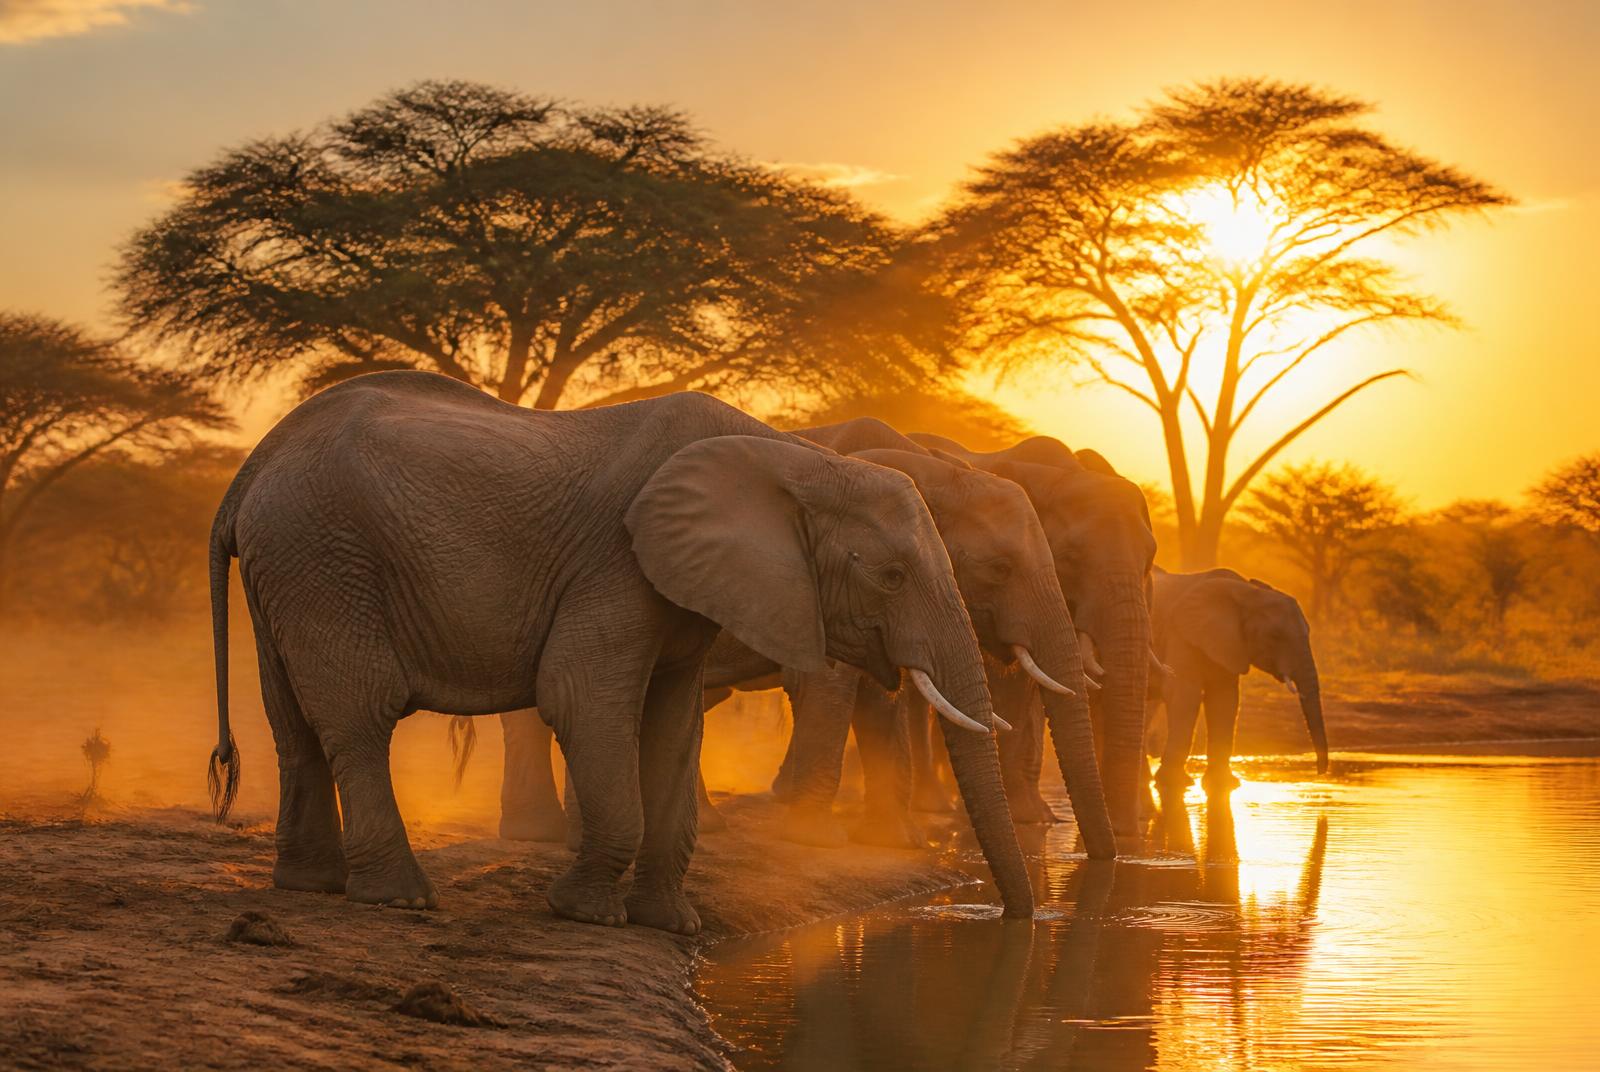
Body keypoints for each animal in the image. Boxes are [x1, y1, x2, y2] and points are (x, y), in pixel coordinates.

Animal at [204, 370, 1033, 934]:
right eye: (890, 576)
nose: (1015, 920)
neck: (789, 456)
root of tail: (252, 467)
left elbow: (673, 722)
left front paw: (671, 924)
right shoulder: (617, 562)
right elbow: (583, 696)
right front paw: (587, 916)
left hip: (292, 565)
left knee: (293, 724)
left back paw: (309, 884)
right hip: (324, 558)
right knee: (359, 715)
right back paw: (398, 897)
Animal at [907, 434, 1158, 837]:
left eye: (1149, 561)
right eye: (1069, 558)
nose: (1123, 831)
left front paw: (1033, 816)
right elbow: (1008, 683)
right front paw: (1026, 818)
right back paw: (934, 805)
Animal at [1149, 568, 1329, 792]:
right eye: (1275, 635)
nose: (1320, 773)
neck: (1248, 593)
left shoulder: (1229, 644)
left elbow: (1224, 699)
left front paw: (1224, 783)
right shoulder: (1180, 634)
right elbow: (1184, 694)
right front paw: (1174, 783)